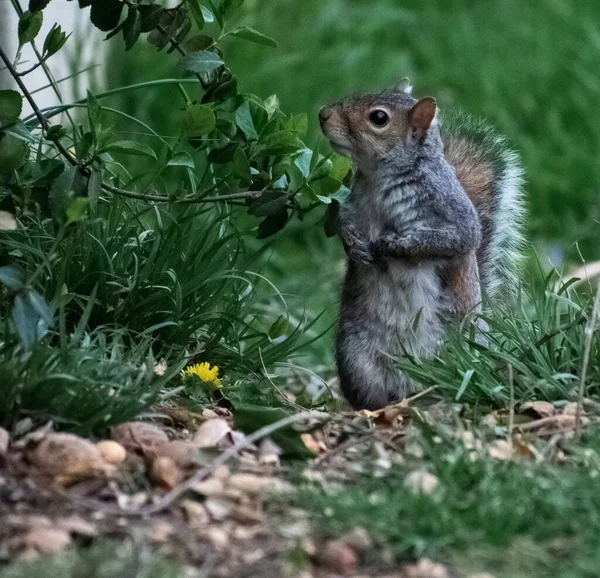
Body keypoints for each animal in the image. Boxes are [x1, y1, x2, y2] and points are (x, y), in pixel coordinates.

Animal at [318, 79, 524, 408]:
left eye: (379, 118)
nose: (323, 114)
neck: (379, 178)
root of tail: (410, 386)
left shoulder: (454, 215)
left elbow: (454, 238)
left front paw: (390, 245)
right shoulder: (352, 206)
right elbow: (344, 225)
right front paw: (354, 246)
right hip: (355, 358)